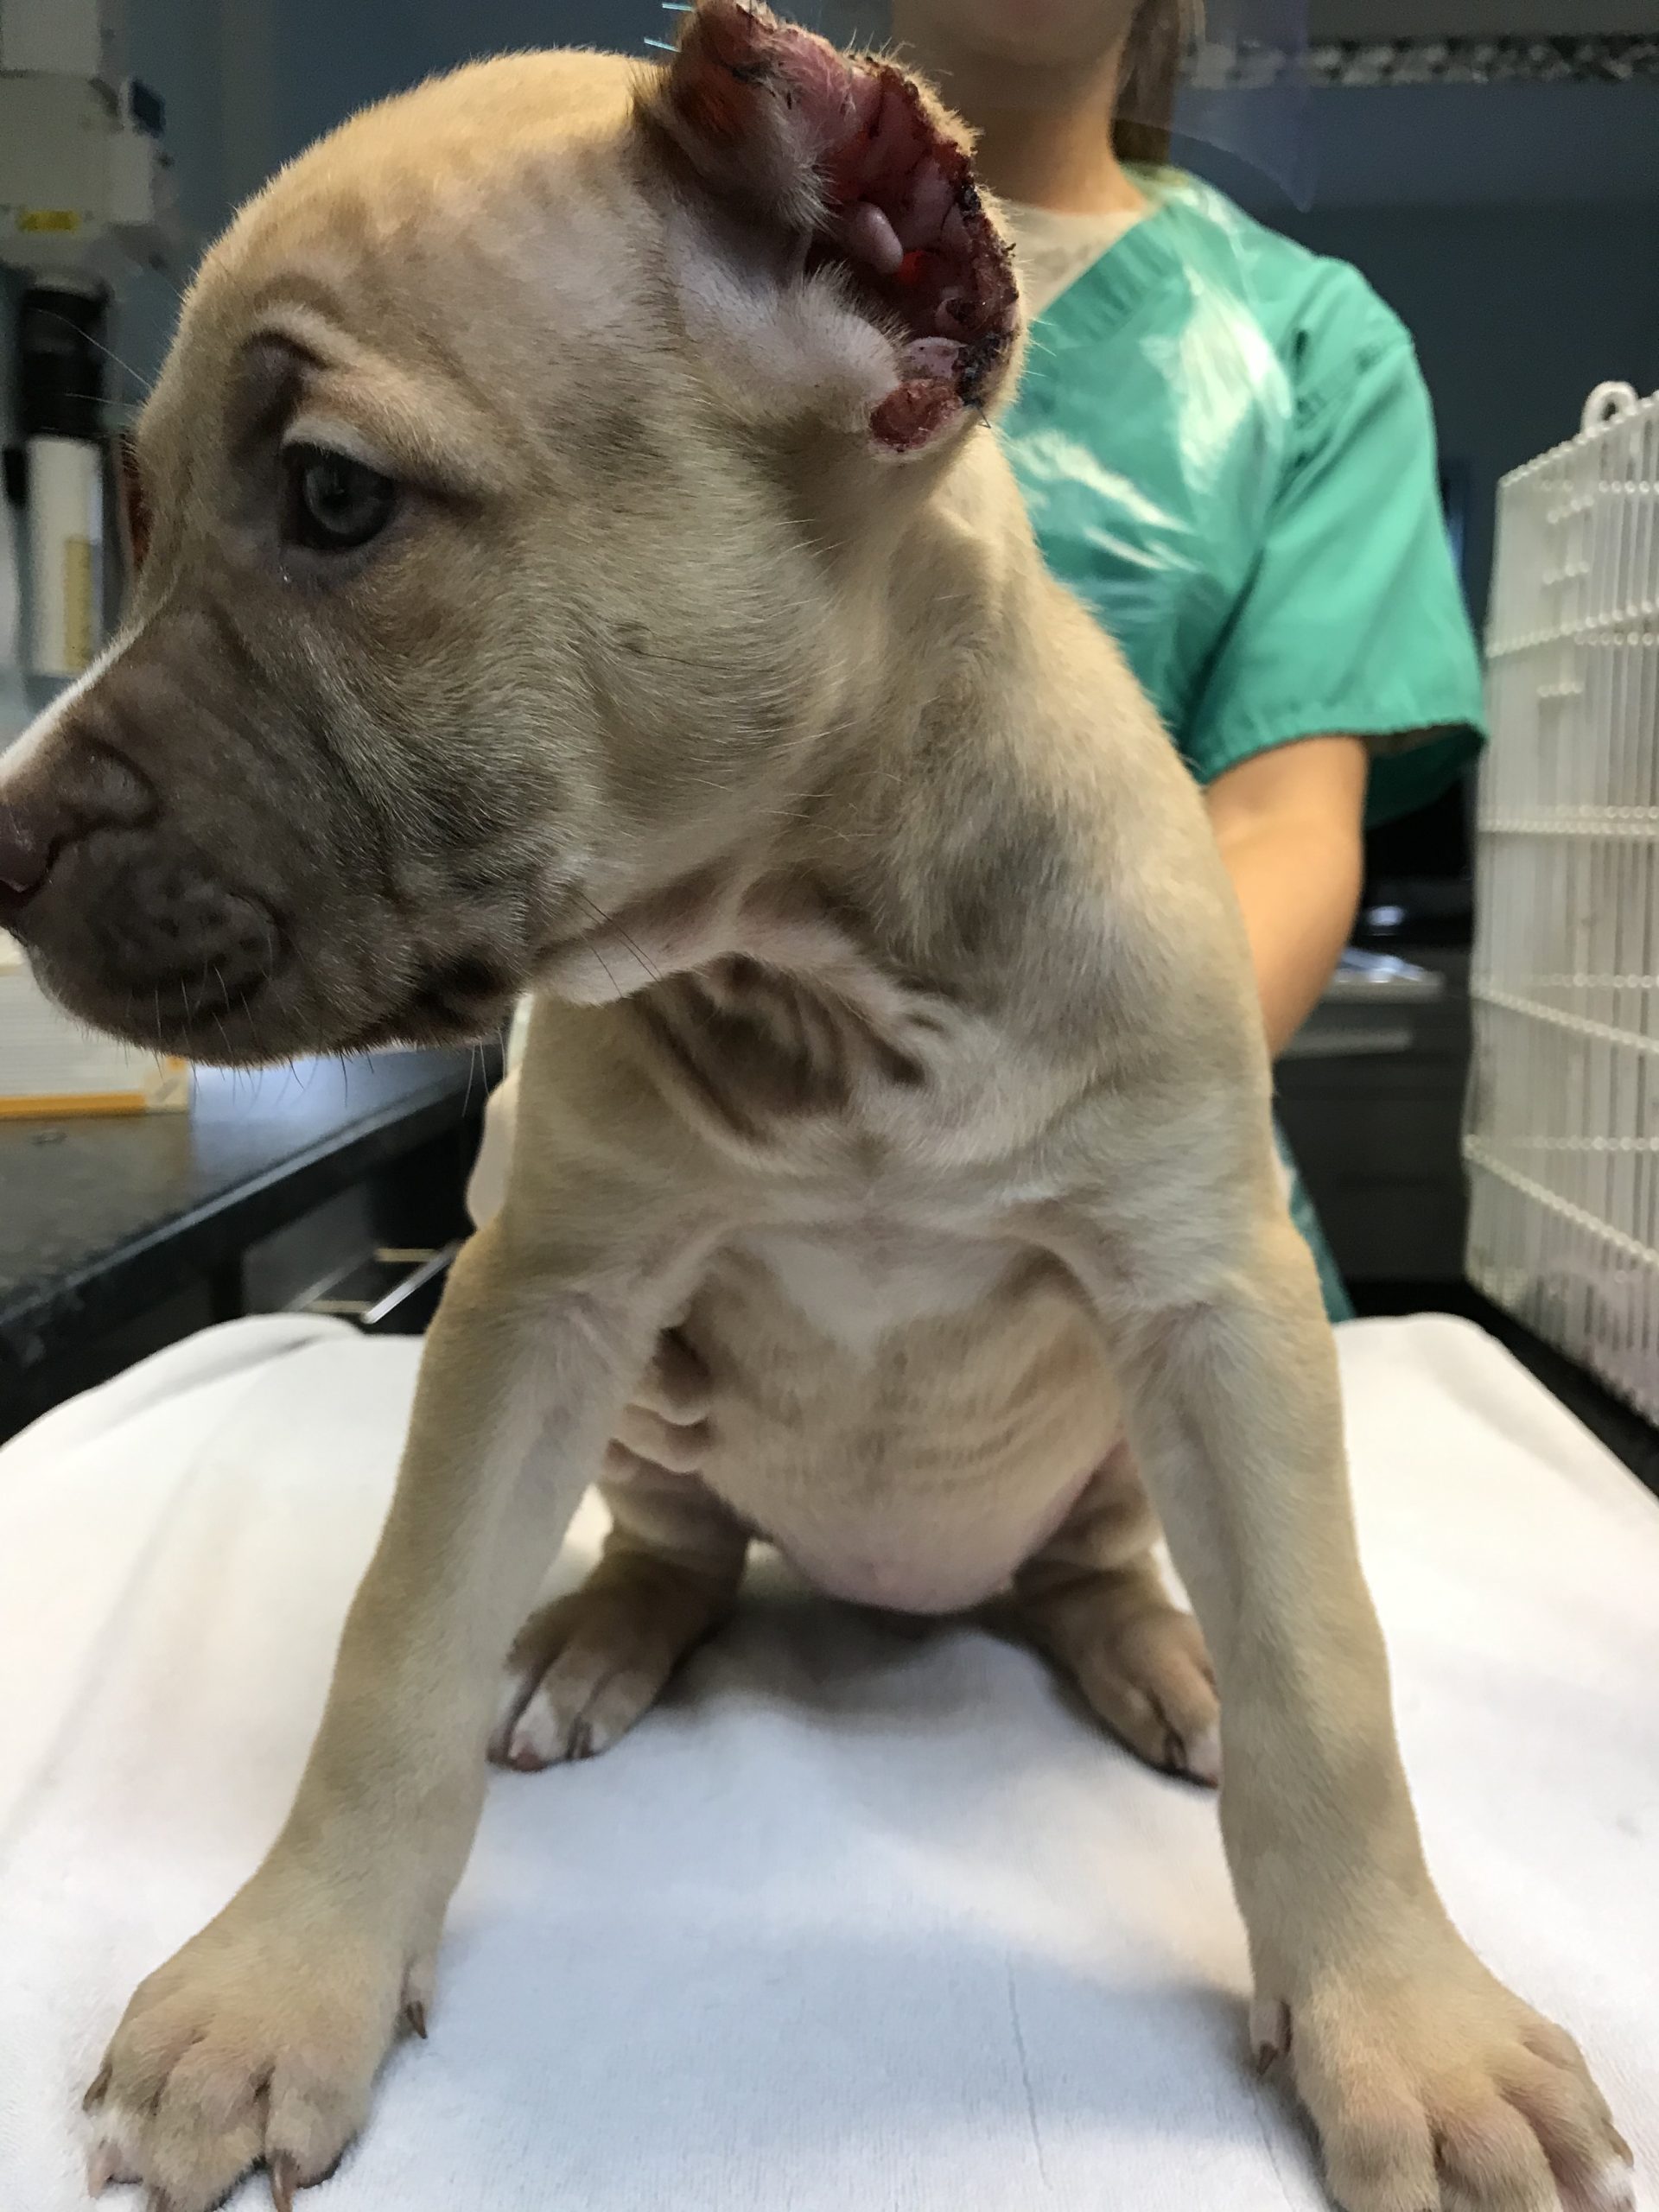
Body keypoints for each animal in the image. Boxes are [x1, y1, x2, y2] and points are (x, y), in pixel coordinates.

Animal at [0, 4, 1637, 2212]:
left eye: (337, 500)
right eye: (152, 512)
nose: (1, 845)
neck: (834, 976)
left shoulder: (1212, 1307)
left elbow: (1329, 1674)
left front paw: (1406, 2019)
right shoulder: (542, 1300)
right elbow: (396, 1638)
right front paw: (286, 1983)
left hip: (1124, 1446)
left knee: (1100, 1574)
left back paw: (1160, 1648)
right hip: (644, 1428)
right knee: (680, 1550)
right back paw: (594, 1634)